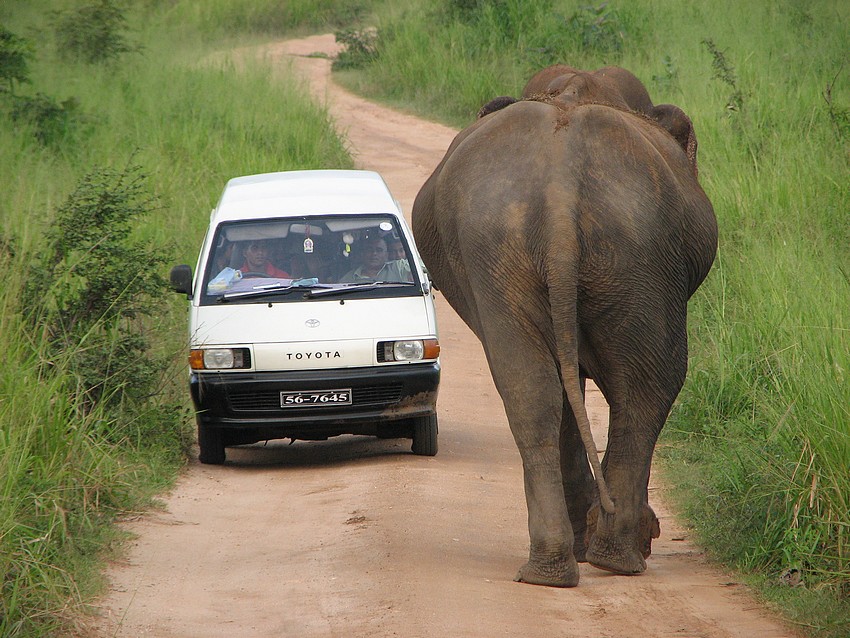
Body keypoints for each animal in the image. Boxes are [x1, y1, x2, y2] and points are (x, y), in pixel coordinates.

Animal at [412, 72, 716, 588]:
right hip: (636, 255)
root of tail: (560, 189)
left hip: (517, 254)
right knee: (651, 387)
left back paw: (555, 569)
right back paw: (614, 558)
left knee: (533, 391)